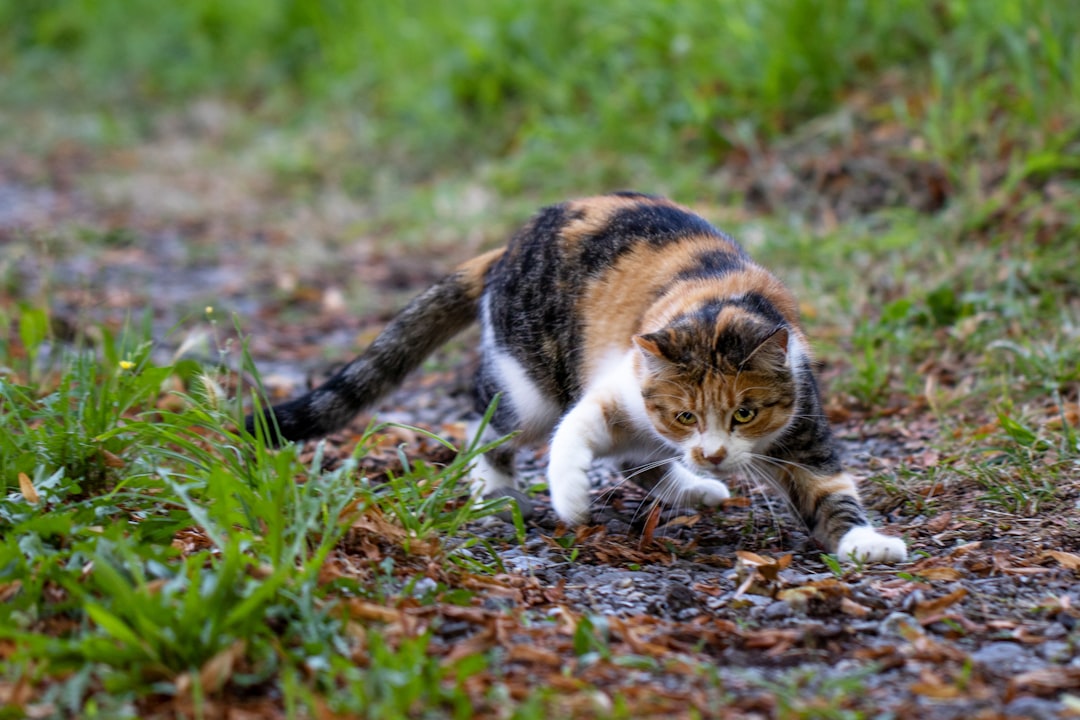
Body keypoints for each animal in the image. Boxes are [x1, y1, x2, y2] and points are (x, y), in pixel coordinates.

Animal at [248, 191, 907, 561]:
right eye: (686, 413)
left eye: (744, 413)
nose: (713, 454)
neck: (718, 309)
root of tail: (509, 247)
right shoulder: (617, 386)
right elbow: (574, 433)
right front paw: (569, 498)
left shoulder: (803, 427)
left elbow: (831, 494)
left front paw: (866, 544)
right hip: (531, 382)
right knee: (492, 423)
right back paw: (495, 490)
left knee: (639, 460)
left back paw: (694, 488)